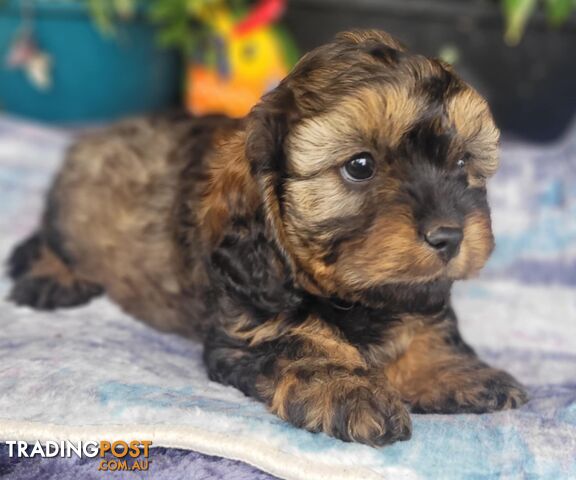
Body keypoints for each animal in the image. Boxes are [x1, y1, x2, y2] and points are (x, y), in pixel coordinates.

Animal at [6, 30, 528, 446]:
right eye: (360, 166)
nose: (450, 236)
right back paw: (52, 276)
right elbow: (305, 344)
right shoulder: (251, 323)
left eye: (461, 162)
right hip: (71, 215)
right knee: (46, 238)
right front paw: (351, 391)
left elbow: (425, 326)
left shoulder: (414, 291)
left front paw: (451, 369)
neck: (353, 300)